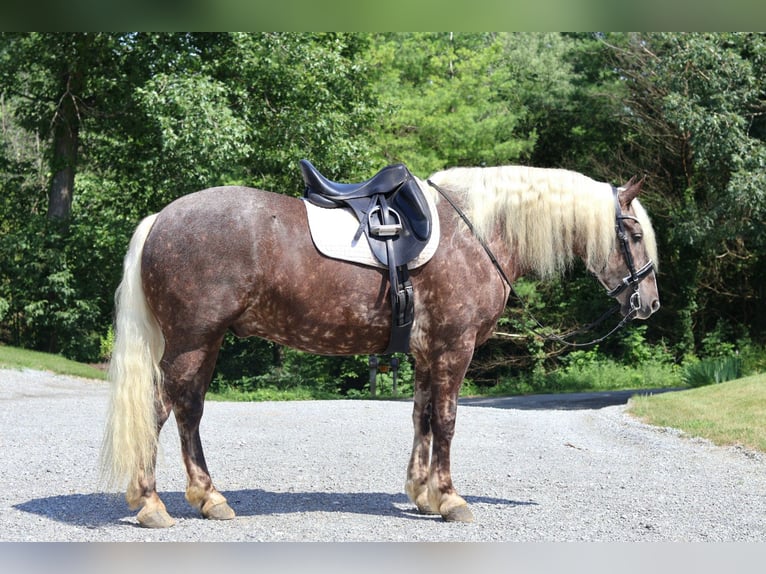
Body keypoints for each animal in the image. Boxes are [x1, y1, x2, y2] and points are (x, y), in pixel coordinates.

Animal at [100, 164, 660, 528]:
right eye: (632, 233)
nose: (649, 303)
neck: (476, 232)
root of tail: (159, 219)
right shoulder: (454, 349)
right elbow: (447, 420)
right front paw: (450, 499)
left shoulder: (426, 353)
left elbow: (422, 418)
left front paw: (422, 494)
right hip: (192, 341)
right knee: (162, 409)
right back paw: (152, 504)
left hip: (204, 342)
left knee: (187, 410)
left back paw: (206, 498)